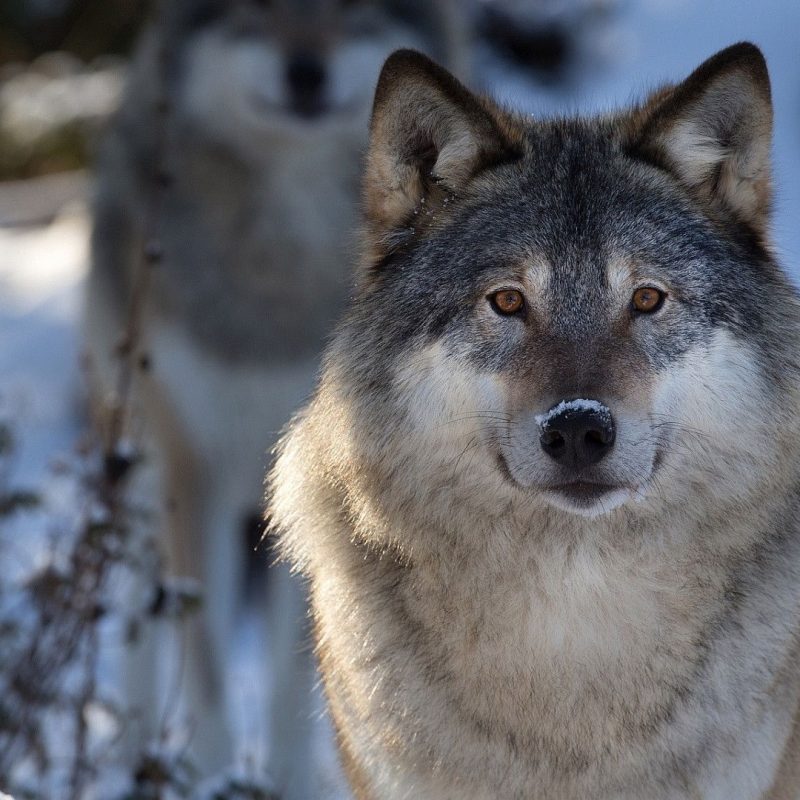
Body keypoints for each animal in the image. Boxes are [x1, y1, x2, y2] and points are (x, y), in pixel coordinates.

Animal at [85, 1, 464, 795]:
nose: (305, 72)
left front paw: (291, 779)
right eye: (254, 11)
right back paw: (133, 752)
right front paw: (208, 775)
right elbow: (204, 662)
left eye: (353, 12)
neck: (279, 260)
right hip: (139, 469)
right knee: (139, 614)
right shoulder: (191, 468)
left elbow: (301, 668)